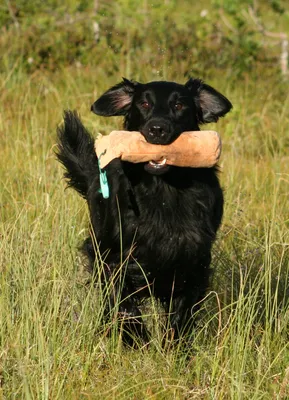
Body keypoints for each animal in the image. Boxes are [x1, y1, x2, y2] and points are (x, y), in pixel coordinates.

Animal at [56, 78, 232, 344]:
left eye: (179, 105)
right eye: (144, 103)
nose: (157, 129)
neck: (163, 189)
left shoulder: (194, 259)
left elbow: (182, 314)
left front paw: (174, 346)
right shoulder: (112, 256)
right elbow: (124, 305)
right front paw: (138, 340)